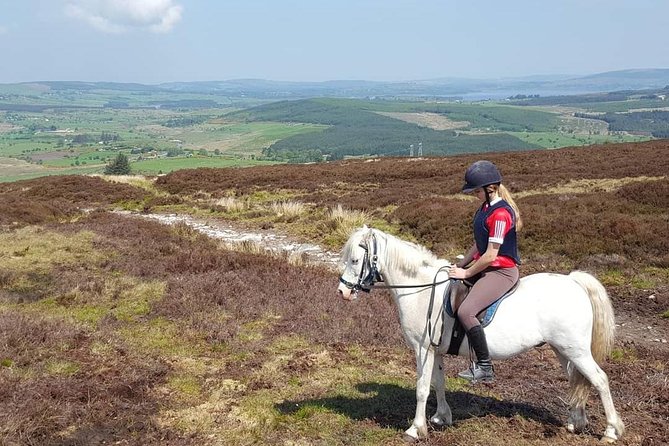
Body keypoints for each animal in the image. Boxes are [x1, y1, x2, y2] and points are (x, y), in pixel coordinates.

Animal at [336, 226, 624, 442]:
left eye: (354, 260)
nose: (343, 292)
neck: (421, 289)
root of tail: (574, 281)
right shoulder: (436, 350)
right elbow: (438, 383)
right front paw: (441, 417)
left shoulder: (423, 349)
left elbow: (421, 388)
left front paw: (416, 429)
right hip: (564, 350)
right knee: (577, 379)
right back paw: (575, 423)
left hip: (575, 349)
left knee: (599, 379)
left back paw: (611, 431)